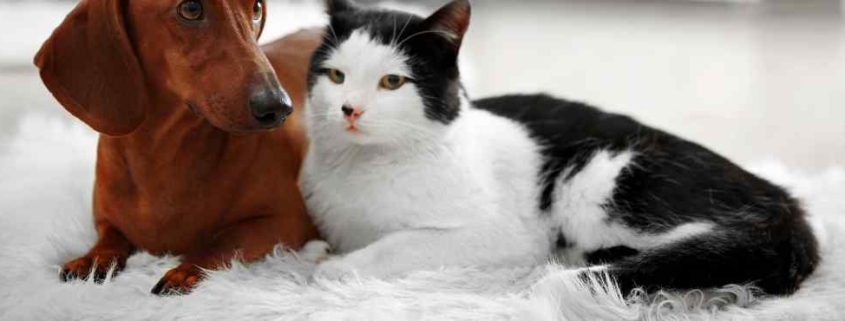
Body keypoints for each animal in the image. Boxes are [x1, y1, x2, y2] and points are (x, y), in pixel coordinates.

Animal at [35, 0, 324, 296]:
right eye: (191, 9)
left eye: (255, 7)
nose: (278, 107)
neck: (160, 154)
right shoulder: (105, 218)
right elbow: (109, 235)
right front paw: (94, 258)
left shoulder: (289, 219)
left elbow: (224, 240)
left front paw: (185, 270)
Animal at [300, 0, 816, 296]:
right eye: (335, 75)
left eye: (392, 82)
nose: (349, 109)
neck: (363, 168)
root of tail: (783, 198)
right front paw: (318, 251)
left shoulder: (501, 234)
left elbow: (400, 244)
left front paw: (341, 267)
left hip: (600, 179)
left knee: (709, 249)